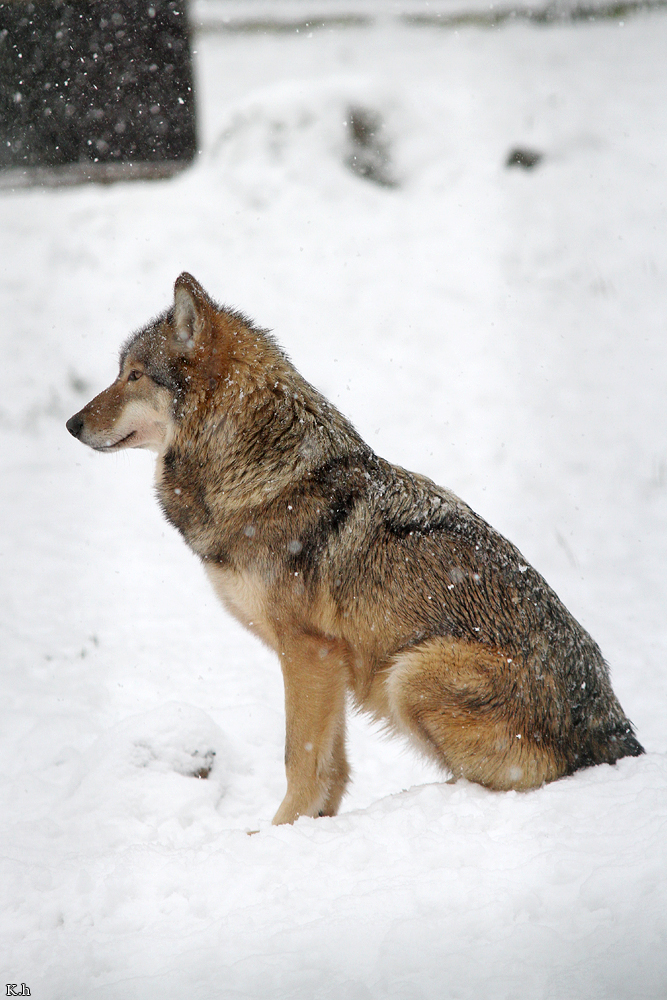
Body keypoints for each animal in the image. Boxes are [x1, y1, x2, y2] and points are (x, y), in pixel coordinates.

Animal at [66, 273, 644, 824]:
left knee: (510, 779)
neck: (260, 471)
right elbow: (334, 764)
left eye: (134, 375)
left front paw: (278, 834)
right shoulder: (329, 661)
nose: (71, 424)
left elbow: (300, 758)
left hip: (409, 674)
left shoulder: (307, 651)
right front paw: (312, 827)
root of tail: (617, 731)